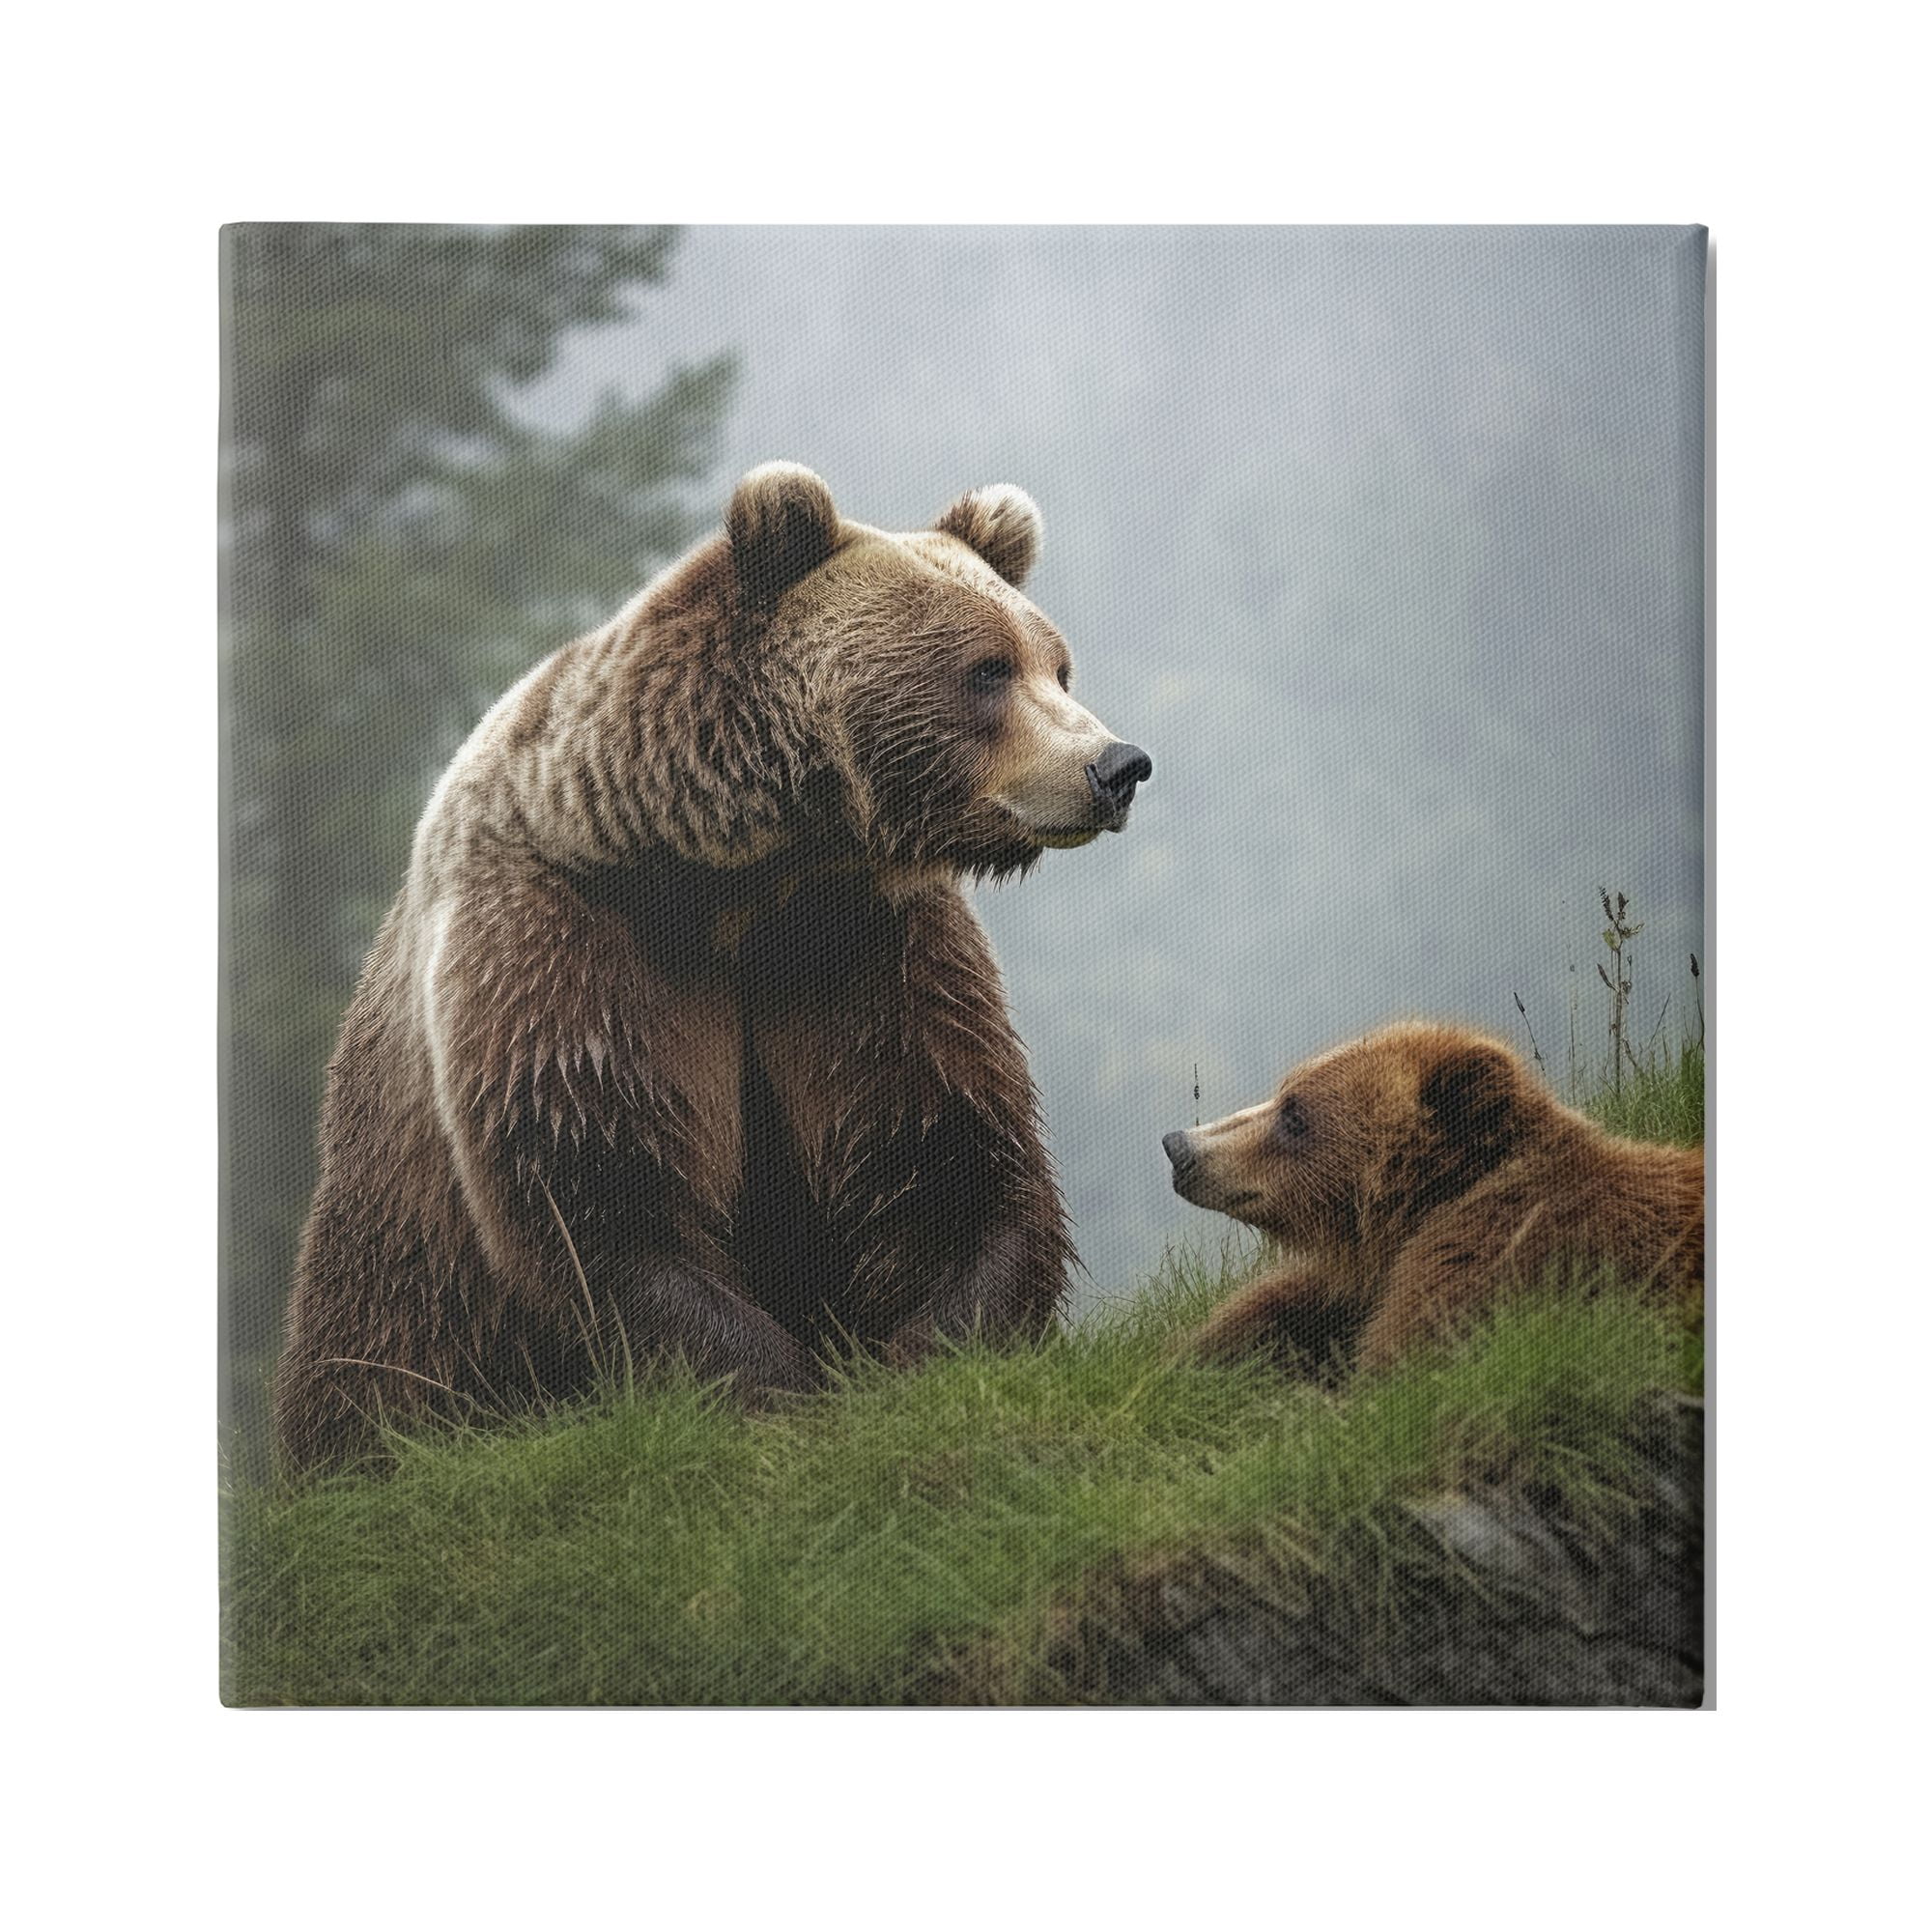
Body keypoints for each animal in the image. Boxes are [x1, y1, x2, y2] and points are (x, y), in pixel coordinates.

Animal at [273, 463, 1152, 1471]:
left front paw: (934, 1356)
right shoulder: (570, 937)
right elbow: (603, 1193)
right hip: (386, 1292)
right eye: (987, 669)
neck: (738, 873)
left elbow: (939, 1148)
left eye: (1056, 663)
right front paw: (784, 1390)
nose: (1116, 765)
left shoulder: (859, 948)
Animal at [1161, 1022, 1703, 1374]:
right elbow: (1278, 1310)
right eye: (1283, 1093)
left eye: (1296, 1115)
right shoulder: (1365, 1281)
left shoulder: (1485, 1262)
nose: (1179, 1146)